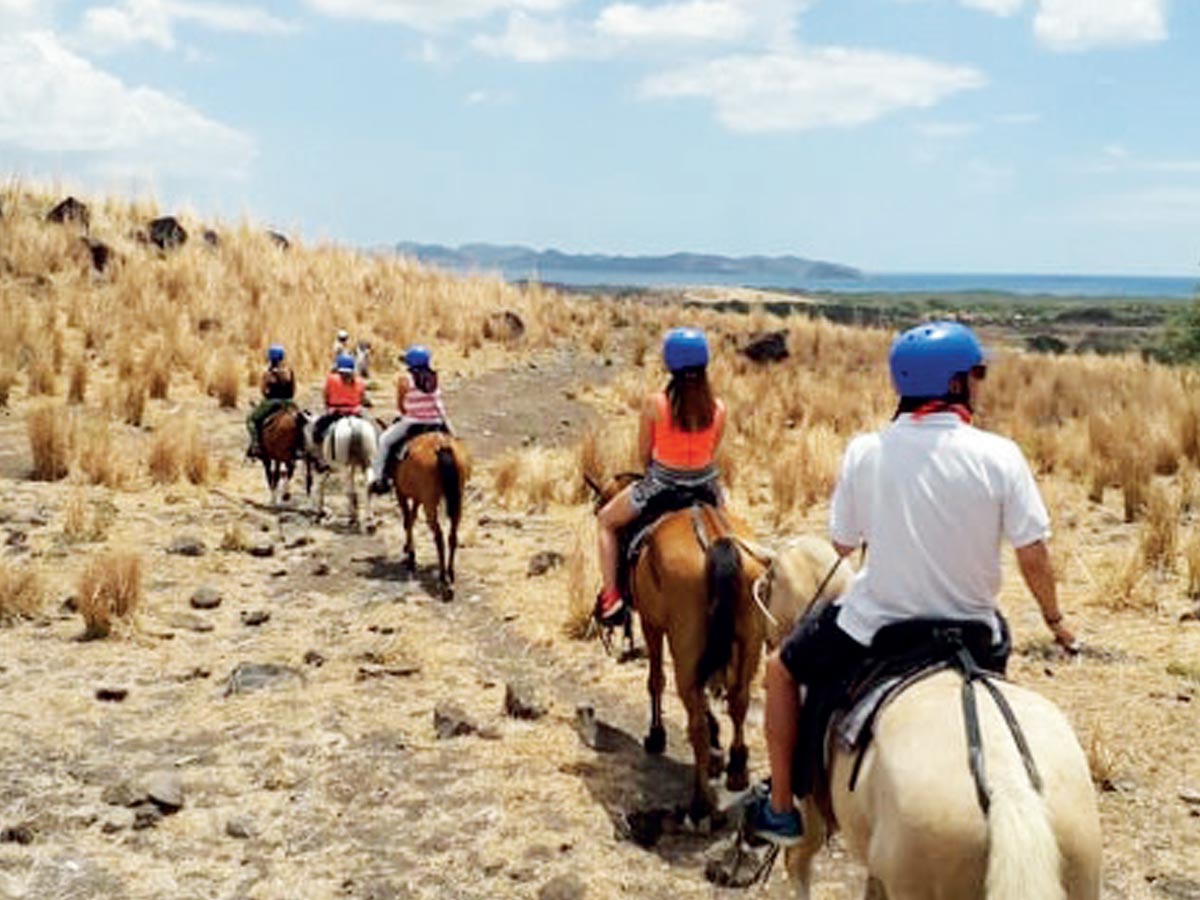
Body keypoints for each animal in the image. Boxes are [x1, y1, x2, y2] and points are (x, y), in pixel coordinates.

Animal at [391, 432, 470, 600]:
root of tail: (441, 446)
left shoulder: (401, 493)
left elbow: (407, 521)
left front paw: (411, 556)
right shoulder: (417, 498)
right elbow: (411, 519)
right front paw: (409, 550)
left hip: (430, 503)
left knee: (438, 536)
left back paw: (443, 579)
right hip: (457, 501)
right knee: (452, 535)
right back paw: (450, 575)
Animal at [588, 475, 772, 830]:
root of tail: (715, 539)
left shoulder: (652, 624)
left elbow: (655, 681)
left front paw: (656, 735)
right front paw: (717, 752)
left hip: (686, 642)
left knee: (694, 720)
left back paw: (699, 806)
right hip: (749, 641)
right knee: (738, 701)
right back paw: (737, 771)